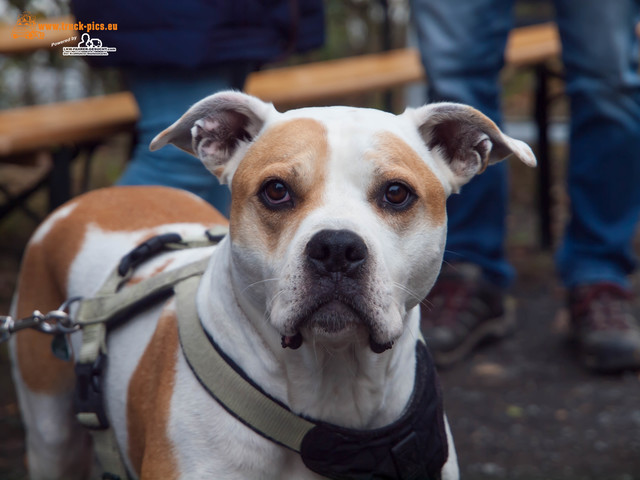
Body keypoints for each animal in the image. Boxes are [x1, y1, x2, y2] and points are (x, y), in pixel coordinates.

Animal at [8, 92, 536, 478]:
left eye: (396, 193)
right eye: (276, 190)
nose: (337, 248)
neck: (334, 392)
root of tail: (88, 199)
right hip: (50, 436)